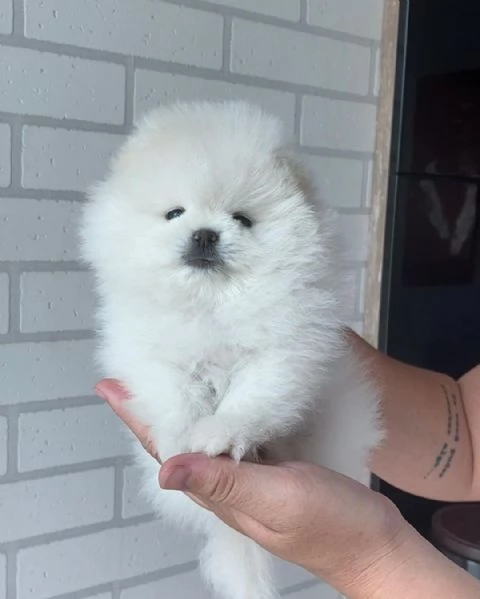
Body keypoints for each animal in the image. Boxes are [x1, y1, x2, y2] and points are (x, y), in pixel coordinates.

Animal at [81, 103, 382, 599]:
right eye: (174, 213)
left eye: (242, 219)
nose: (205, 234)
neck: (211, 302)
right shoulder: (149, 353)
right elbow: (174, 392)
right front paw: (182, 433)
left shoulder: (284, 353)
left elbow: (250, 400)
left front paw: (219, 434)